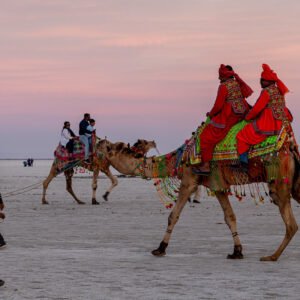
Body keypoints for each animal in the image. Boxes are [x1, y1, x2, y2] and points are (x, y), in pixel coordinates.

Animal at [98, 137, 300, 262]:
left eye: (114, 147)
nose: (100, 141)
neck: (178, 160)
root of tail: (291, 151)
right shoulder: (218, 185)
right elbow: (230, 217)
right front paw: (237, 251)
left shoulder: (189, 181)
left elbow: (173, 216)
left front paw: (160, 248)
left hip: (279, 183)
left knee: (291, 224)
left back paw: (272, 256)